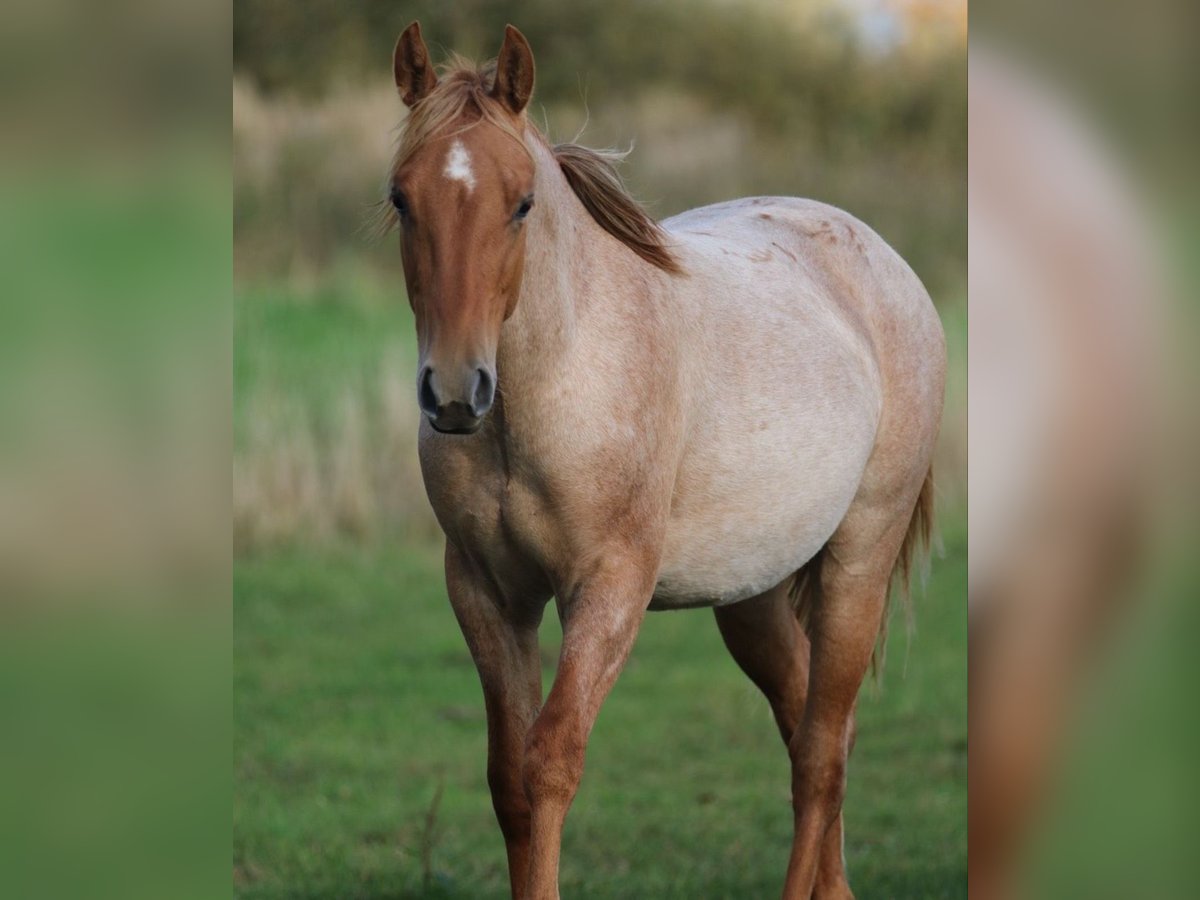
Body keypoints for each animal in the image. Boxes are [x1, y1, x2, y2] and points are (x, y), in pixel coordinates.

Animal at [384, 21, 945, 900]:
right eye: (401, 199)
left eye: (522, 203)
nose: (452, 391)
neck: (551, 385)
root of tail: (885, 262)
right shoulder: (486, 592)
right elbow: (508, 779)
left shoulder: (609, 588)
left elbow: (550, 763)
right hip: (755, 595)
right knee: (813, 725)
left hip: (859, 559)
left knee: (821, 753)